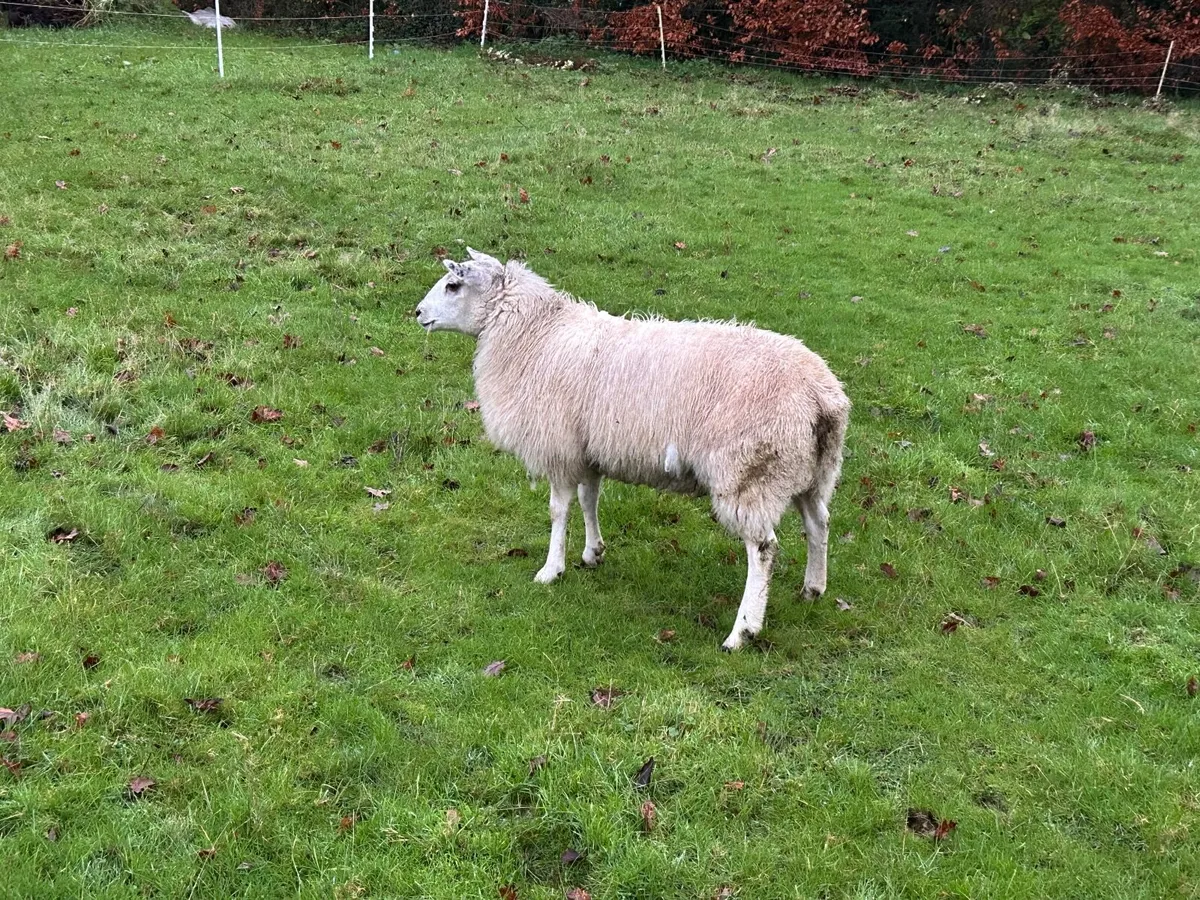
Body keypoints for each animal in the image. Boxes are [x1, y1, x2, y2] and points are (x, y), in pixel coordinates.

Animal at [415, 249, 850, 651]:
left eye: (453, 285)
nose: (417, 313)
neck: (535, 333)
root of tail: (820, 394)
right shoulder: (588, 448)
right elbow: (589, 499)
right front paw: (593, 553)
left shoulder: (558, 447)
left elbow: (558, 511)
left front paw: (551, 570)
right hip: (813, 470)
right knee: (819, 522)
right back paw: (813, 589)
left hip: (751, 474)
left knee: (763, 549)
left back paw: (742, 631)